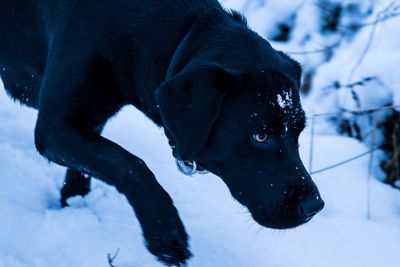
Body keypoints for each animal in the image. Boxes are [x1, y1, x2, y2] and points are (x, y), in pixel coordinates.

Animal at [0, 1, 324, 266]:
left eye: (298, 132)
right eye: (260, 136)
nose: (314, 206)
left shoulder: (87, 122)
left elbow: (87, 170)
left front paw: (70, 207)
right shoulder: (53, 127)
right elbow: (130, 164)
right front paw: (166, 234)